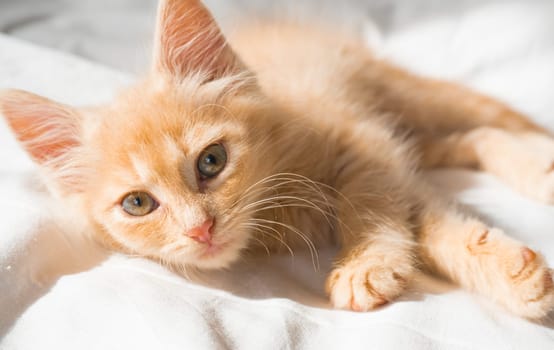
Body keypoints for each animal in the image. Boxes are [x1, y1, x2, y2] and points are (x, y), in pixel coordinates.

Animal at [1, 0, 552, 318]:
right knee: (471, 138)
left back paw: (542, 160)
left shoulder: (369, 145)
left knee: (490, 118)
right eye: (138, 204)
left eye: (211, 161)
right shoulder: (391, 155)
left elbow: (374, 207)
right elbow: (430, 224)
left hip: (403, 94)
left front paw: (366, 264)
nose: (200, 230)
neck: (277, 202)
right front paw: (507, 270)